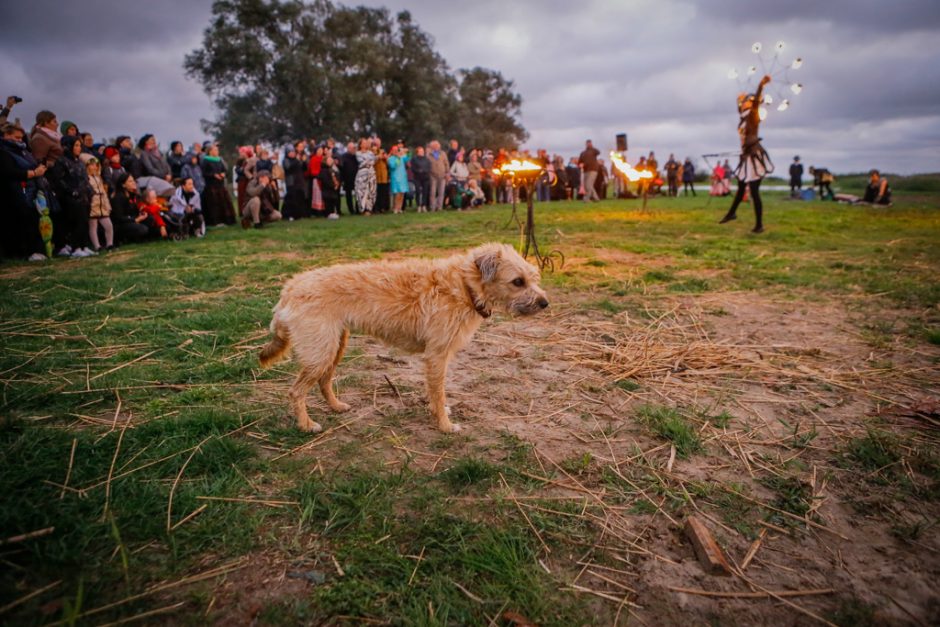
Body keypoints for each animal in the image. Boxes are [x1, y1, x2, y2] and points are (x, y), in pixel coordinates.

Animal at [258, 243, 552, 434]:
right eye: (518, 281)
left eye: (532, 279)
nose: (545, 303)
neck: (463, 286)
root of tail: (290, 288)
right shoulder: (437, 355)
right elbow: (438, 392)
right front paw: (445, 426)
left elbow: (436, 393)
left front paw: (439, 415)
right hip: (320, 351)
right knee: (296, 391)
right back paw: (306, 425)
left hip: (334, 346)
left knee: (323, 381)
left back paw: (336, 406)